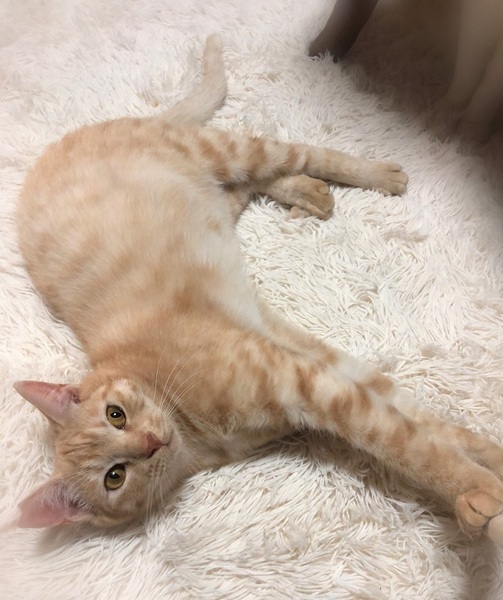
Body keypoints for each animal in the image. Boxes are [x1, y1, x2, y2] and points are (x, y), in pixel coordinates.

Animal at [14, 34, 503, 544]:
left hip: (224, 149)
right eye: (115, 476)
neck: (186, 423)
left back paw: (372, 175)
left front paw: (477, 480)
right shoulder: (307, 369)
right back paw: (308, 193)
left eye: (116, 414)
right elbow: (405, 416)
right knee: (247, 186)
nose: (150, 443)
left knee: (295, 153)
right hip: (215, 195)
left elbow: (409, 437)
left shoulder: (303, 380)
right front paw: (483, 466)